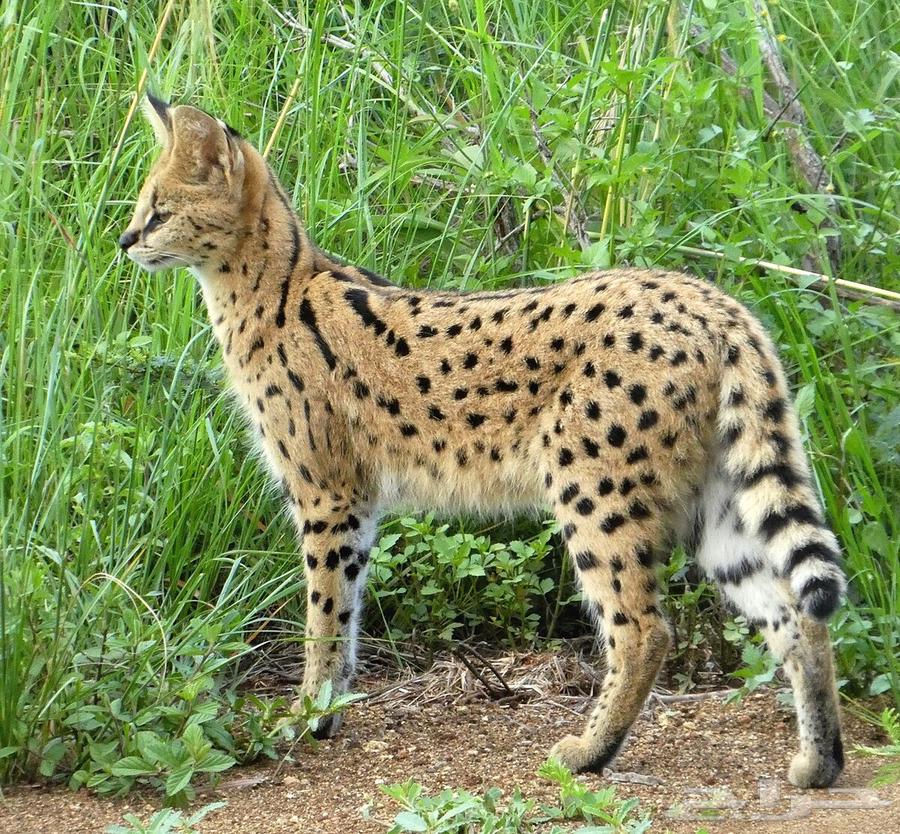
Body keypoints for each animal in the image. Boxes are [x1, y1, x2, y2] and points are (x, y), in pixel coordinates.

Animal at [120, 95, 847, 788]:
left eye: (159, 212)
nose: (125, 240)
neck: (268, 287)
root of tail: (715, 303)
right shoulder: (356, 504)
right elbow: (348, 611)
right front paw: (329, 710)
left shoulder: (326, 492)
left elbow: (323, 614)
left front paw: (307, 715)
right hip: (715, 505)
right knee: (795, 613)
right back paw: (820, 763)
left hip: (593, 490)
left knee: (645, 630)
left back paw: (589, 753)